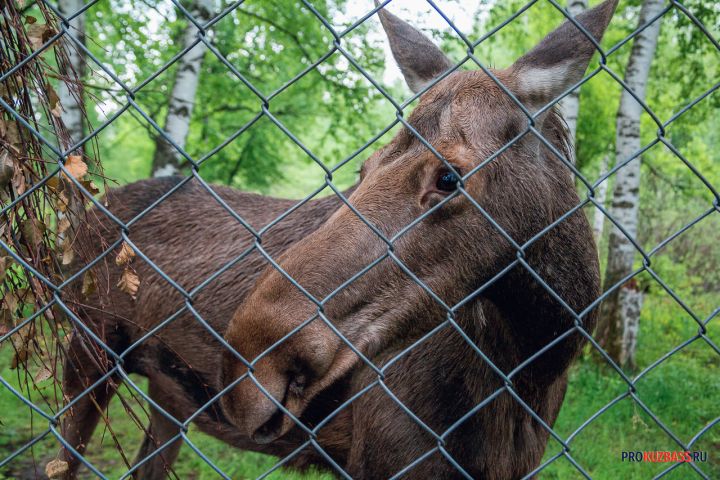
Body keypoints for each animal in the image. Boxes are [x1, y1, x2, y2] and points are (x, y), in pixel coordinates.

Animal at [59, 1, 616, 478]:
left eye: (449, 177)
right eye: (364, 169)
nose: (248, 371)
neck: (532, 369)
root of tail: (90, 213)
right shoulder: (387, 460)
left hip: (167, 396)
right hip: (87, 356)